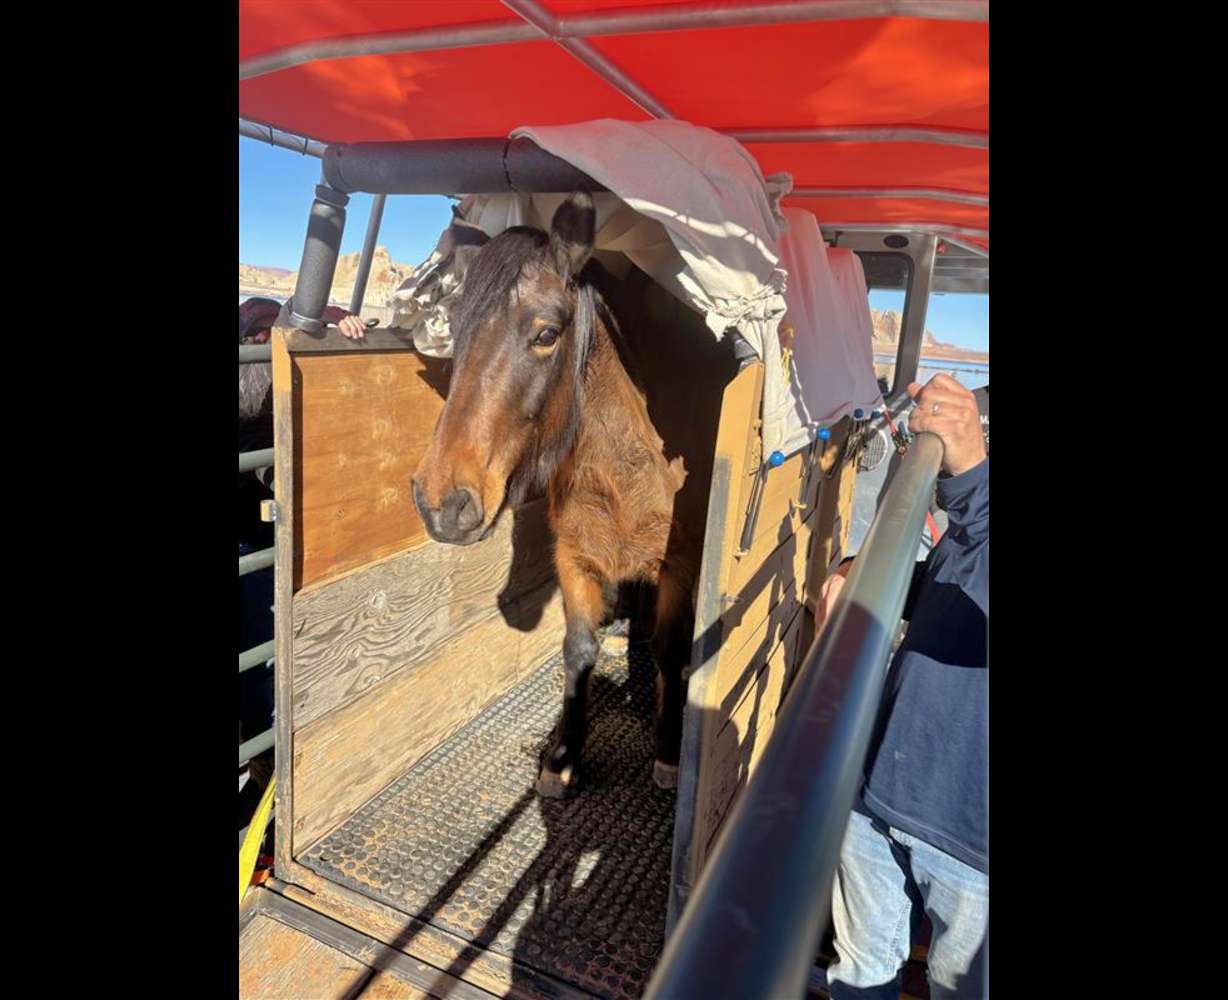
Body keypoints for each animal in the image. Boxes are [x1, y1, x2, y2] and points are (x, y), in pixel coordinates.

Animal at [412, 193, 738, 798]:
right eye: (457, 331)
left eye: (546, 334)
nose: (441, 503)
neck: (625, 463)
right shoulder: (575, 557)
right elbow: (578, 652)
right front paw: (564, 754)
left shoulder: (679, 562)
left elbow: (668, 648)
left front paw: (667, 750)